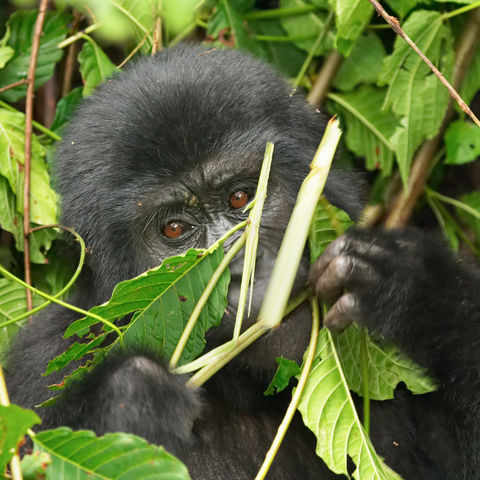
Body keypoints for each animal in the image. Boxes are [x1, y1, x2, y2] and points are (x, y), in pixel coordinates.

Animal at [5, 46, 480, 480]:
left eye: (241, 197)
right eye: (174, 230)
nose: (242, 274)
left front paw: (416, 291)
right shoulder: (42, 370)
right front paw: (133, 401)